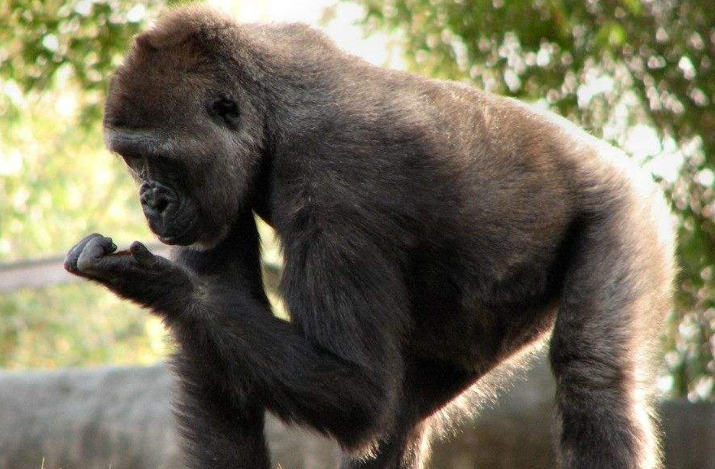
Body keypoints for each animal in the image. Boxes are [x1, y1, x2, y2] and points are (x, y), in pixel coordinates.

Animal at [64, 4, 676, 468]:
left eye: (159, 160)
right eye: (133, 161)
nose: (151, 200)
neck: (269, 113)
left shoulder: (335, 182)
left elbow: (354, 390)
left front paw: (155, 283)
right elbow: (221, 372)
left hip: (626, 211)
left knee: (593, 380)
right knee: (400, 419)